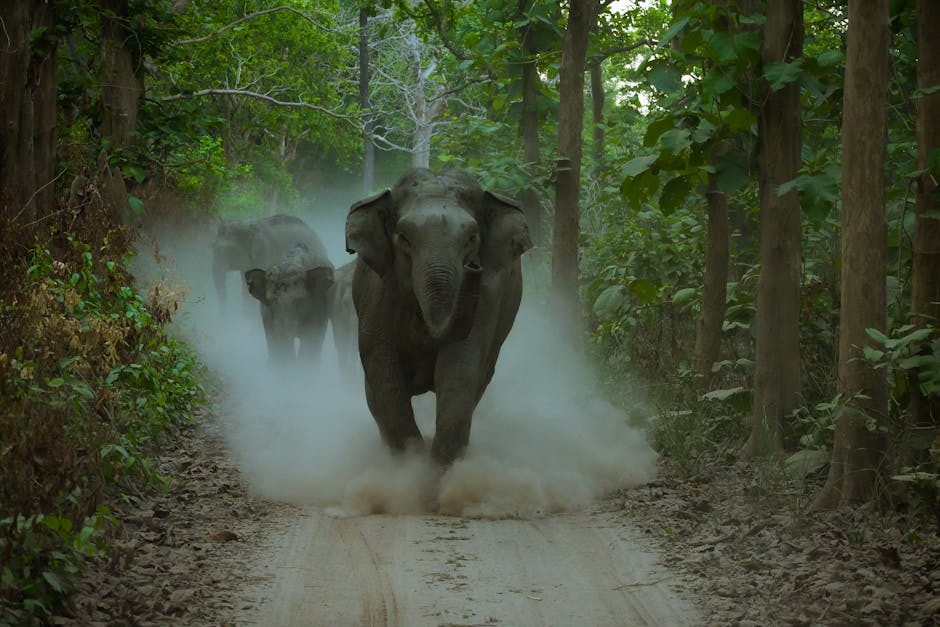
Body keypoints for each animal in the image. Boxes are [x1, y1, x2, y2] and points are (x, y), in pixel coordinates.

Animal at [345, 168, 532, 466]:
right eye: (405, 238)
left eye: (471, 238)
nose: (473, 267)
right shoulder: (378, 288)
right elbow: (381, 364)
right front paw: (410, 463)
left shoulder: (489, 294)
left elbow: (460, 366)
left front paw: (434, 472)